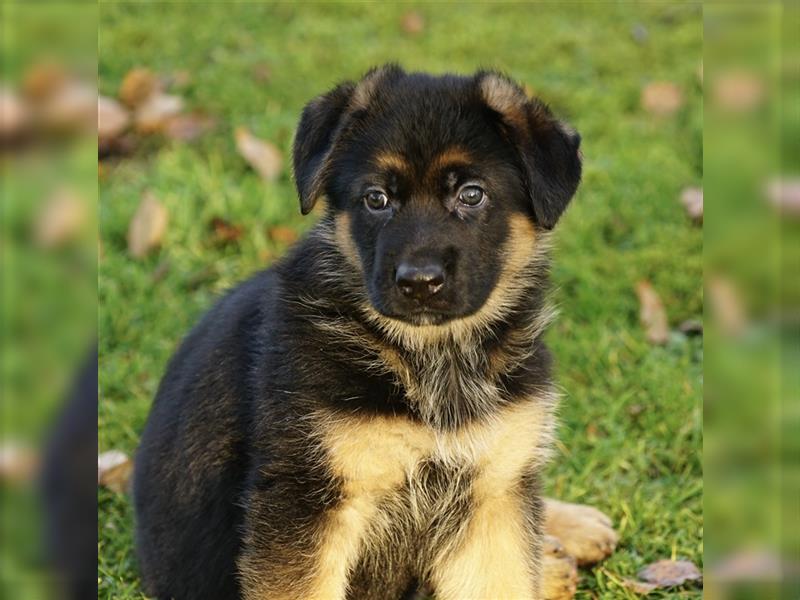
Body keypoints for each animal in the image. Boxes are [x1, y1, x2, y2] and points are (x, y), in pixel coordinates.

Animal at [134, 65, 616, 600]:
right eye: (377, 199)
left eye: (471, 194)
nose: (419, 282)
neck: (430, 358)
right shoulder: (309, 499)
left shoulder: (490, 497)